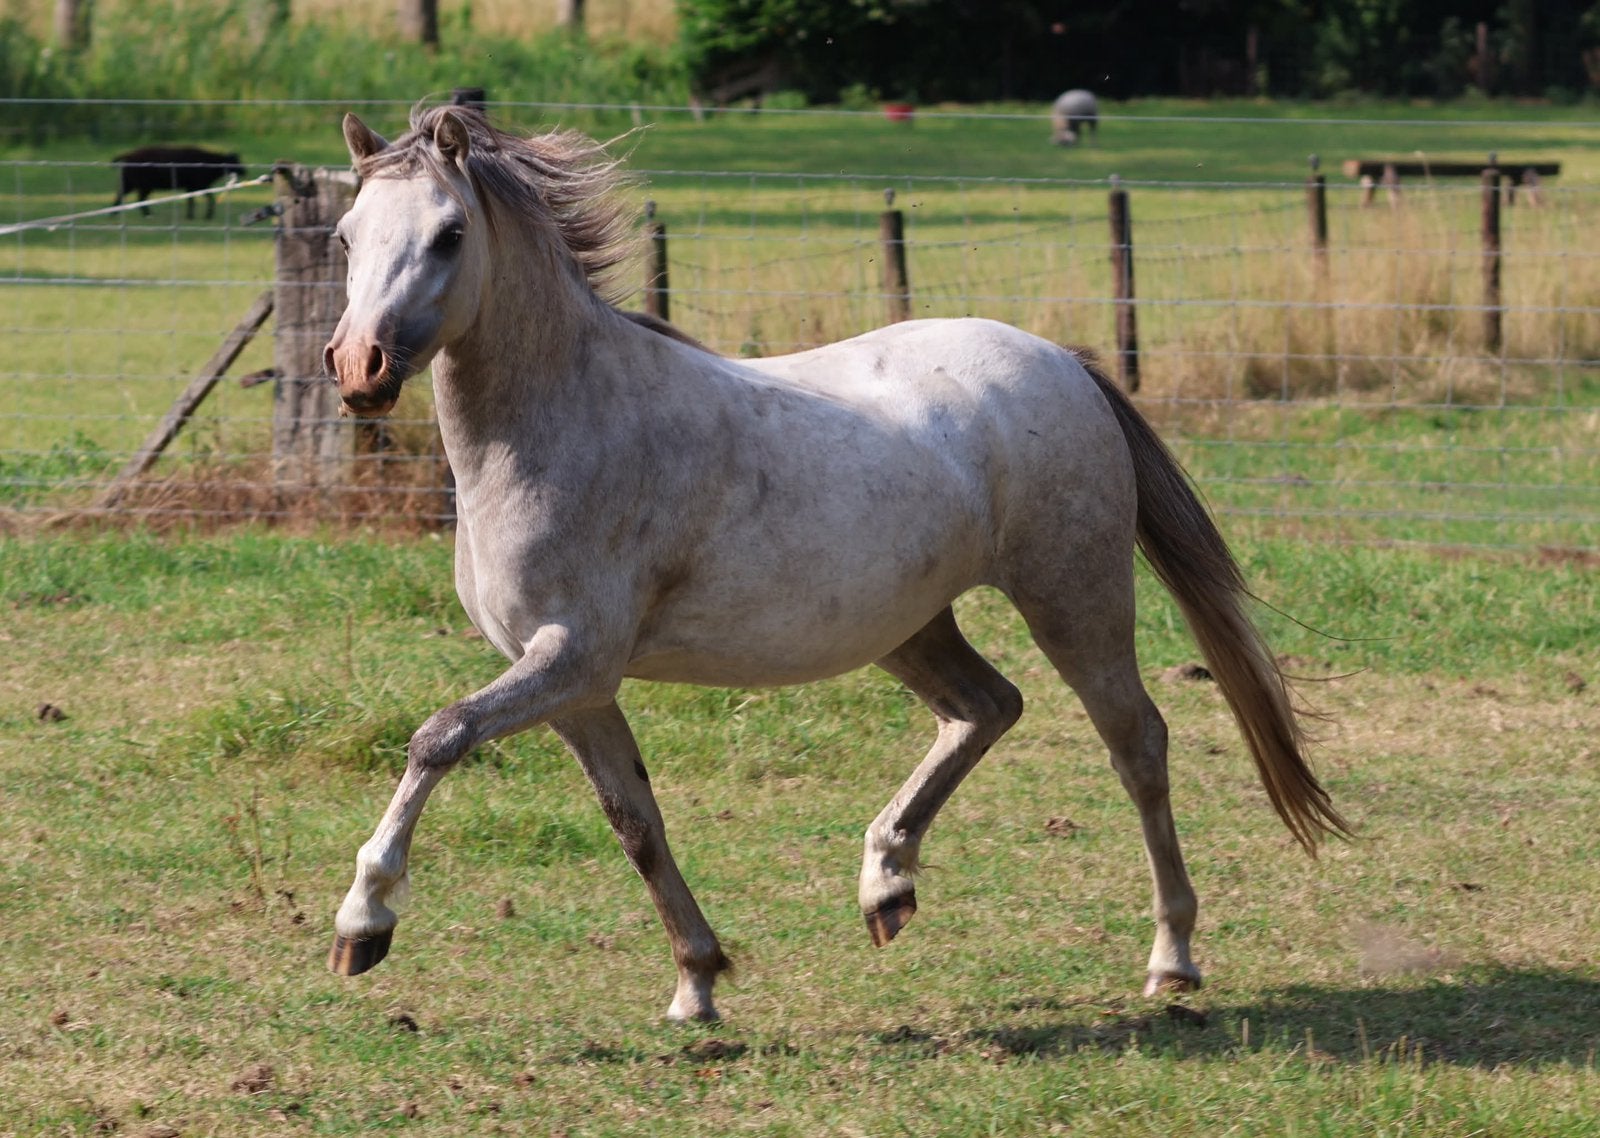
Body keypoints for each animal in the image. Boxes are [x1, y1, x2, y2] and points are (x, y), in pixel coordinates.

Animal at [323, 104, 1348, 1023]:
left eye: (450, 234)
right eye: (345, 235)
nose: (358, 367)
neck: (564, 422)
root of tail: (1063, 360)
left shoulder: (573, 656)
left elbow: (440, 736)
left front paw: (363, 923)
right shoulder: (574, 685)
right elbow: (636, 823)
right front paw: (697, 985)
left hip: (1075, 598)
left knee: (1136, 744)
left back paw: (1171, 959)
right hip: (910, 625)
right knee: (986, 707)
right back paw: (886, 884)